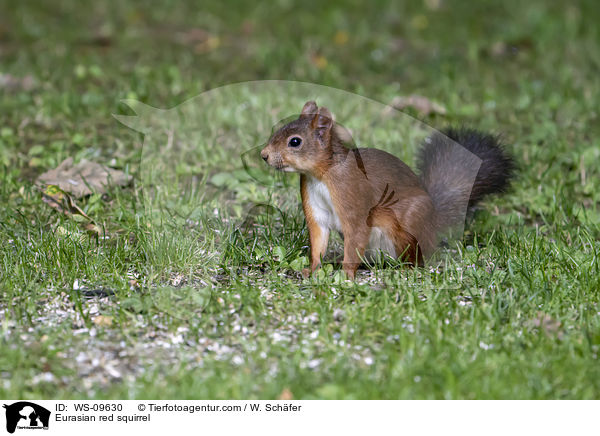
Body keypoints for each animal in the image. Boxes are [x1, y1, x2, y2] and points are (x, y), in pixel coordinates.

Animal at [260, 101, 512, 280]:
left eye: (295, 142)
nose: (264, 155)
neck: (322, 175)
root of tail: (433, 224)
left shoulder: (352, 197)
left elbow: (356, 233)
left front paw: (346, 275)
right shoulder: (314, 205)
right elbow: (319, 239)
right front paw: (312, 270)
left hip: (406, 224)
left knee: (417, 259)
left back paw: (405, 269)